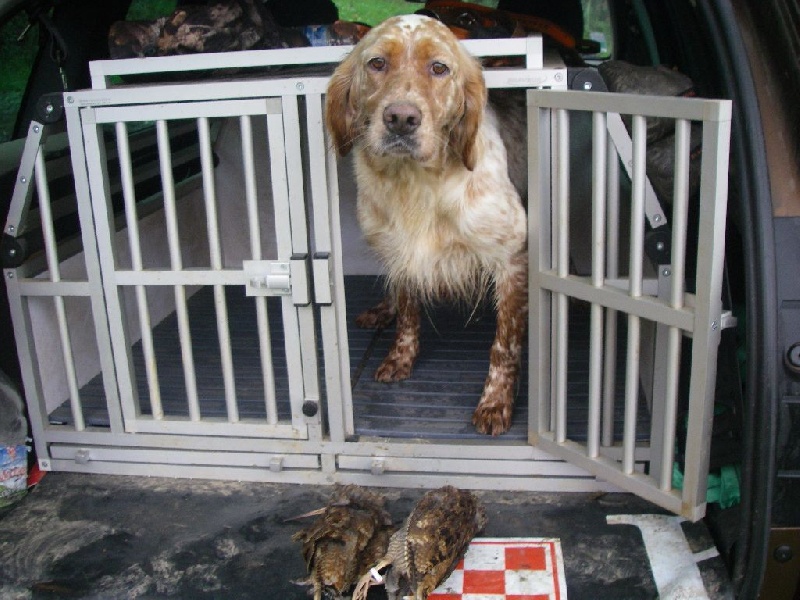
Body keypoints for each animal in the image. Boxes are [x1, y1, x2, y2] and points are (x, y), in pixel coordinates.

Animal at [325, 14, 528, 435]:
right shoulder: (398, 252)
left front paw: (495, 402)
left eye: (439, 68)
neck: (415, 183)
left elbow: (504, 344)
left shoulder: (512, 256)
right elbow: (407, 311)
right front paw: (400, 356)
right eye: (377, 63)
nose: (401, 118)